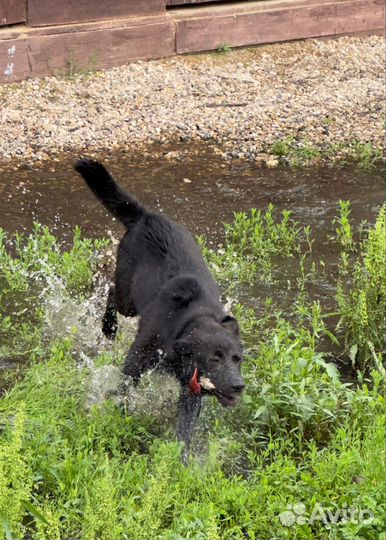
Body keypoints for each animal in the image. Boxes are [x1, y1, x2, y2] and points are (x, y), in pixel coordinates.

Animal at [74, 158, 244, 462]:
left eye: (238, 359)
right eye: (215, 359)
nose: (239, 386)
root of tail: (147, 216)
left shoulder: (191, 392)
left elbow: (184, 430)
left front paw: (181, 462)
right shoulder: (136, 361)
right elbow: (124, 390)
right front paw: (119, 412)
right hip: (128, 299)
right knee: (111, 293)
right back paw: (108, 328)